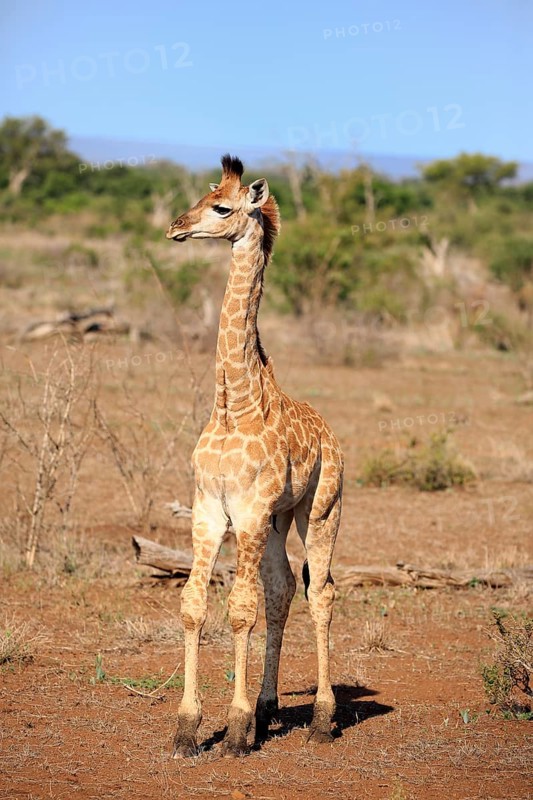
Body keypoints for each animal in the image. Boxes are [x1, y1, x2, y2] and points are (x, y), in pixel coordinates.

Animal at [166, 155, 344, 757]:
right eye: (202, 198)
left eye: (222, 208)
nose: (175, 227)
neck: (232, 406)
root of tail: (333, 435)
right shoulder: (208, 508)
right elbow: (194, 605)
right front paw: (188, 728)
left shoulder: (245, 511)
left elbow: (239, 608)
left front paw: (237, 729)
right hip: (277, 519)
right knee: (284, 587)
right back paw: (270, 708)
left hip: (320, 509)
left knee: (322, 592)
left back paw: (320, 718)